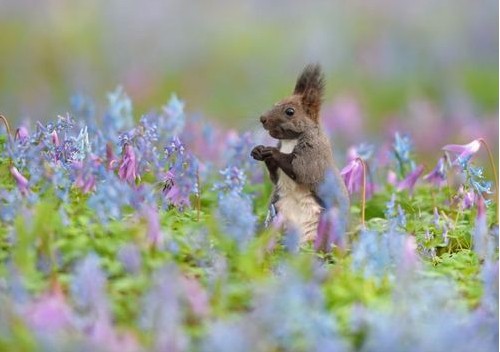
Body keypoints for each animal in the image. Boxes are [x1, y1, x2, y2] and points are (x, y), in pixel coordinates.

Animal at [249, 64, 348, 242]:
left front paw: (272, 152)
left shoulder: (314, 152)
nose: (262, 118)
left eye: (290, 111)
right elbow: (274, 177)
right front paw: (259, 150)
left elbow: (300, 170)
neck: (290, 140)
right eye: (275, 103)